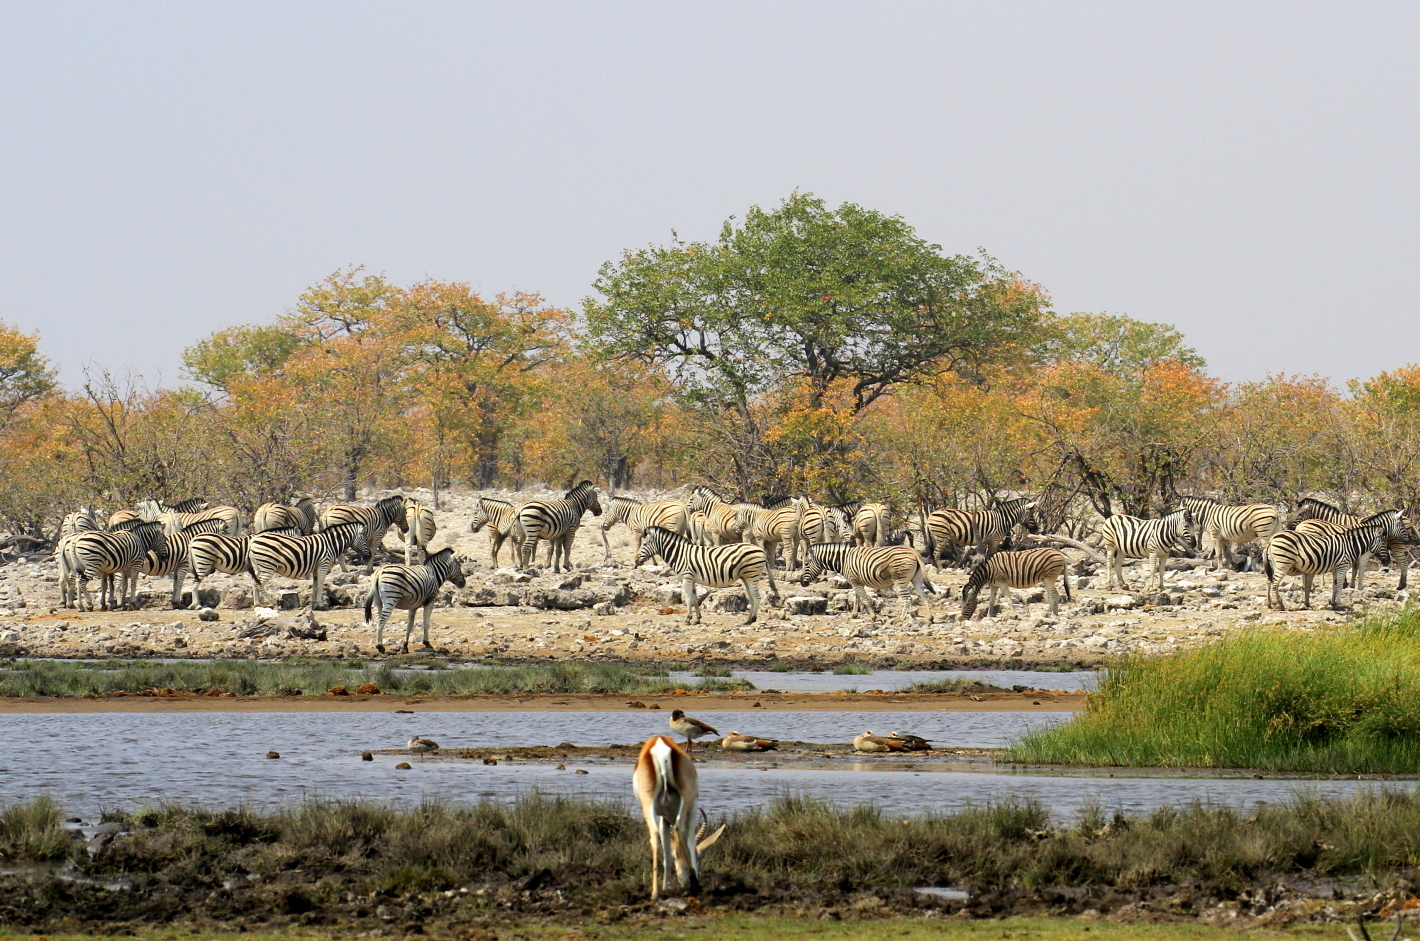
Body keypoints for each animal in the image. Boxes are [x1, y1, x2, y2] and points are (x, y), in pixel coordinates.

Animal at [635, 526, 780, 625]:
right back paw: (748, 619)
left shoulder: (687, 577)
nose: (636, 561)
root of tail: (761, 551)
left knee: (757, 597)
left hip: (751, 575)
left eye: (645, 544)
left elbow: (688, 599)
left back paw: (752, 620)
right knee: (751, 597)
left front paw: (688, 619)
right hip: (746, 577)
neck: (680, 554)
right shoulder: (692, 579)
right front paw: (697, 619)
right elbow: (694, 599)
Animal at [800, 542, 933, 621]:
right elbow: (856, 598)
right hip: (916, 579)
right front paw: (854, 615)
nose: (802, 583)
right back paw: (930, 617)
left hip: (900, 580)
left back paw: (900, 618)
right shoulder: (856, 582)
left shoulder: (855, 581)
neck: (843, 560)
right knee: (924, 596)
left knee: (908, 599)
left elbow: (864, 599)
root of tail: (914, 551)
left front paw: (873, 617)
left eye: (806, 564)